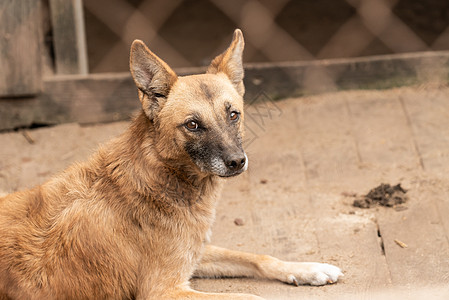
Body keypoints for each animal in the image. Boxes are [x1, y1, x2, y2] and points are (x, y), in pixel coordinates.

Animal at [0, 29, 342, 298]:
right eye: (192, 125)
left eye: (233, 114)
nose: (237, 162)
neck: (160, 177)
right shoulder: (165, 290)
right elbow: (249, 296)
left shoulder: (196, 255)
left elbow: (258, 256)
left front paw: (310, 269)